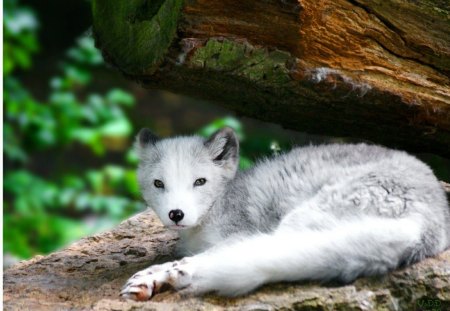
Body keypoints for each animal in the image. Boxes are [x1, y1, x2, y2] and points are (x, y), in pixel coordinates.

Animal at [119, 127, 450, 302]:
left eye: (199, 182)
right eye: (158, 184)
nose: (176, 214)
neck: (222, 200)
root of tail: (429, 221)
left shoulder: (238, 232)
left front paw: (153, 274)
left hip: (297, 222)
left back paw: (170, 275)